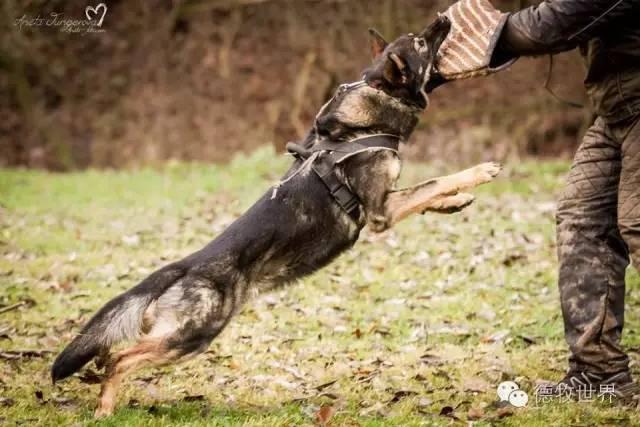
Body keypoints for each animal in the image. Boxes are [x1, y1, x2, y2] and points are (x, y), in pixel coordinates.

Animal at [51, 16, 500, 418]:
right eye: (421, 43)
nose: (443, 18)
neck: (370, 110)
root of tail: (185, 266)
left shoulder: (389, 203)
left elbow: (430, 193)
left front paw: (456, 202)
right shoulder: (381, 212)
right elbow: (434, 182)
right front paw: (478, 173)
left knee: (109, 353)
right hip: (192, 336)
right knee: (120, 360)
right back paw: (105, 409)